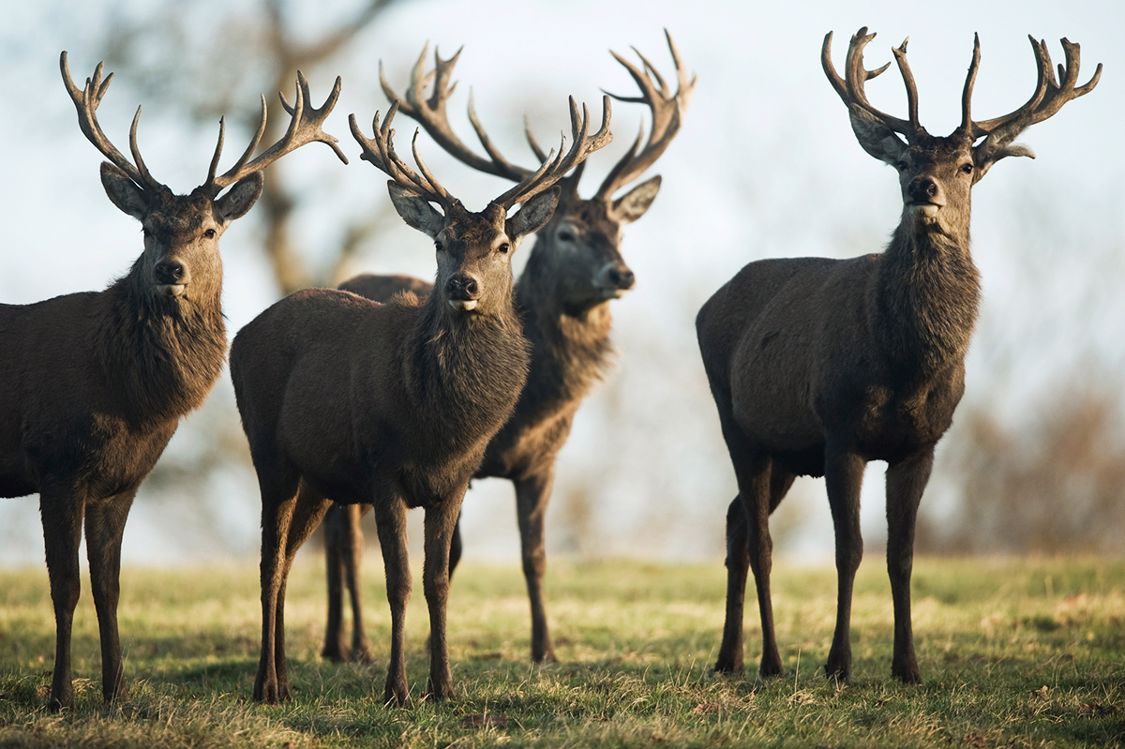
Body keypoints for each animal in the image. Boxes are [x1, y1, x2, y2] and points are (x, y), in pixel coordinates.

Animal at [0, 51, 346, 706]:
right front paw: (60, 696)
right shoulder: (56, 463)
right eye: (148, 228)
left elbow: (109, 587)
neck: (128, 399)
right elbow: (65, 588)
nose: (170, 270)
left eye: (210, 230)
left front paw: (116, 693)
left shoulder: (122, 480)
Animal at [230, 91, 616, 701]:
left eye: (503, 244)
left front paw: (445, 686)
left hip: (320, 479)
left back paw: (288, 679)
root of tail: (239, 337)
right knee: (270, 561)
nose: (464, 284)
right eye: (440, 242)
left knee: (289, 560)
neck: (441, 425)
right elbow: (399, 581)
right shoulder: (383, 468)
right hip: (270, 454)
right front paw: (397, 689)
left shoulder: (456, 478)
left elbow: (439, 580)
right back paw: (267, 684)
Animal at [317, 33, 693, 665]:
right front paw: (432, 647)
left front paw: (545, 649)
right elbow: (451, 558)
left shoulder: (543, 461)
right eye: (566, 232)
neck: (533, 408)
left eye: (619, 229)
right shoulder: (457, 463)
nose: (621, 274)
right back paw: (351, 646)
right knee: (342, 539)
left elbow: (534, 556)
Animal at [693, 29, 1098, 683]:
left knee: (735, 524)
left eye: (965, 165)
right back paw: (770, 661)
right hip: (738, 423)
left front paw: (907, 665)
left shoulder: (922, 444)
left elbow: (903, 555)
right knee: (760, 540)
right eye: (906, 161)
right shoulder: (841, 433)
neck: (907, 366)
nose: (922, 189)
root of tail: (707, 305)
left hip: (786, 450)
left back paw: (729, 658)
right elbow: (849, 550)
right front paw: (838, 664)